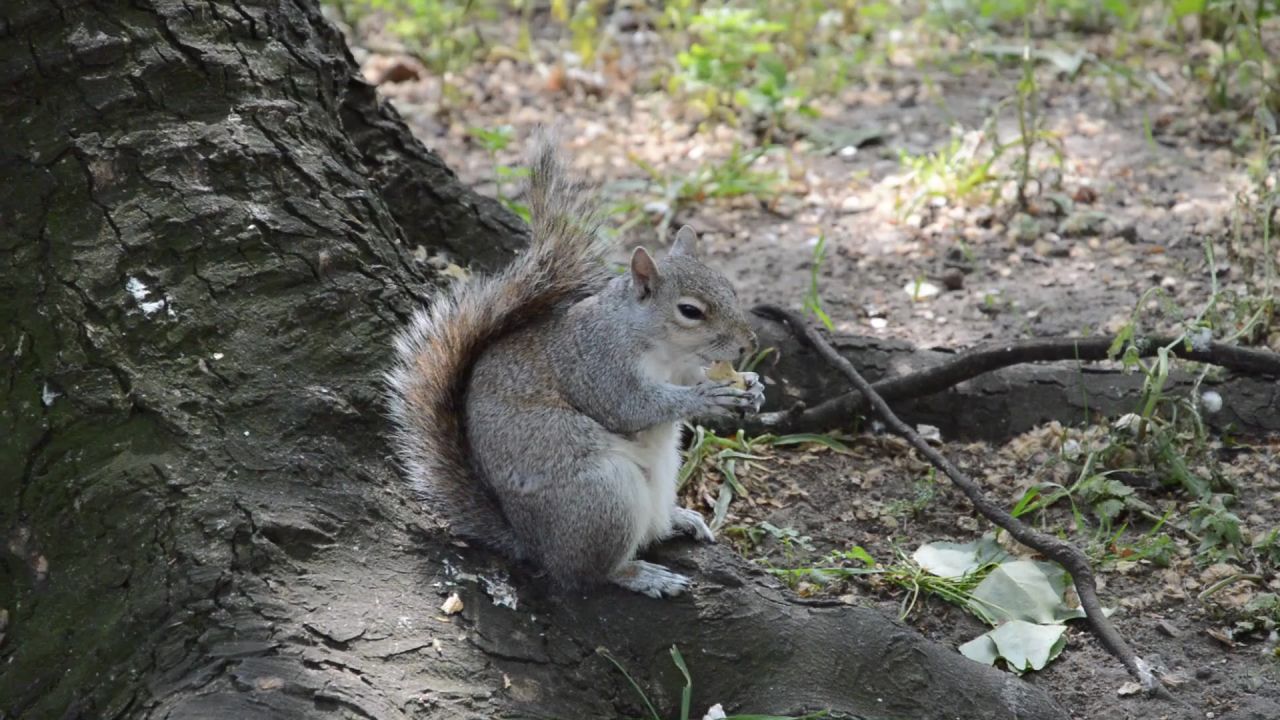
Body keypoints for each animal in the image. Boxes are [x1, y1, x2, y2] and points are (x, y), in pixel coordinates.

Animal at [384, 133, 762, 594]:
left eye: (730, 287)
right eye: (690, 311)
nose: (748, 344)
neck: (664, 349)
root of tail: (532, 543)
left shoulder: (681, 366)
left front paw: (752, 385)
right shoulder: (598, 364)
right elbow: (630, 407)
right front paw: (707, 396)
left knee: (650, 529)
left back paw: (679, 518)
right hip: (602, 497)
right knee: (586, 574)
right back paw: (641, 575)